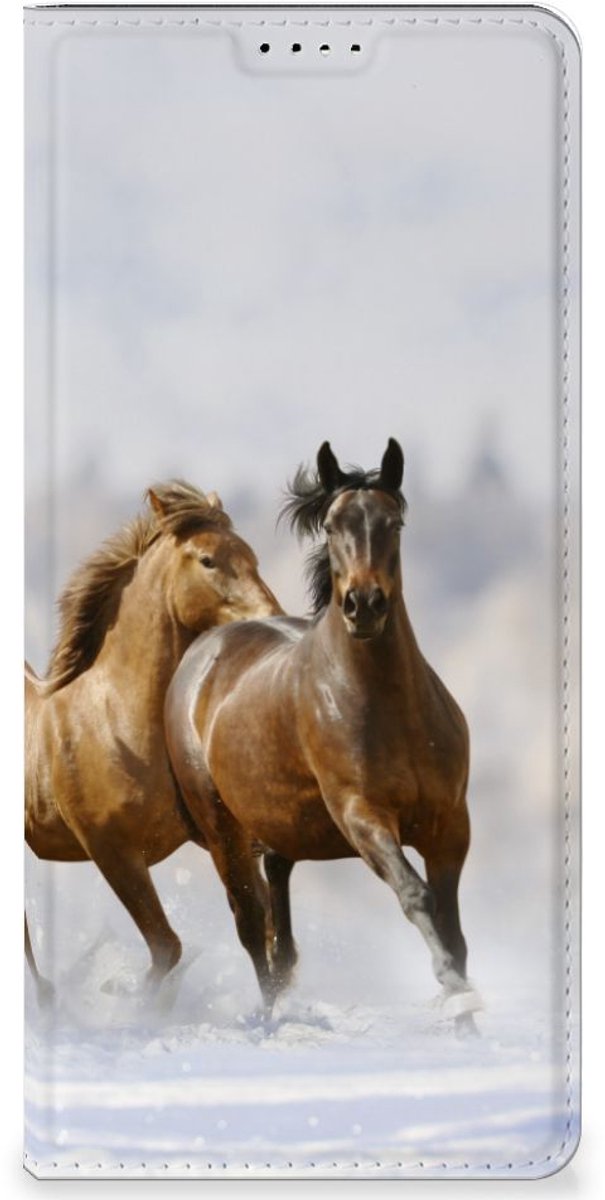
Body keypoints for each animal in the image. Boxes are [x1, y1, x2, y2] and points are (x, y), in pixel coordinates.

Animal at [25, 481, 281, 999]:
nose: (272, 618)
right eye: (207, 560)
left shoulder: (220, 836)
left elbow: (257, 927)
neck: (116, 722)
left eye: (251, 556)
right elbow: (167, 947)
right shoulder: (112, 851)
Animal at [165, 440, 481, 1033]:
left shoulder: (450, 824)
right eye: (333, 526)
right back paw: (269, 1021)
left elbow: (453, 927)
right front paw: (455, 995)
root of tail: (203, 651)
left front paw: (467, 1020)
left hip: (279, 829)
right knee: (252, 925)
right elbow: (417, 896)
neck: (390, 708)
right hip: (222, 831)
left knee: (279, 927)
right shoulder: (362, 816)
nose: (364, 605)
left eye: (393, 522)